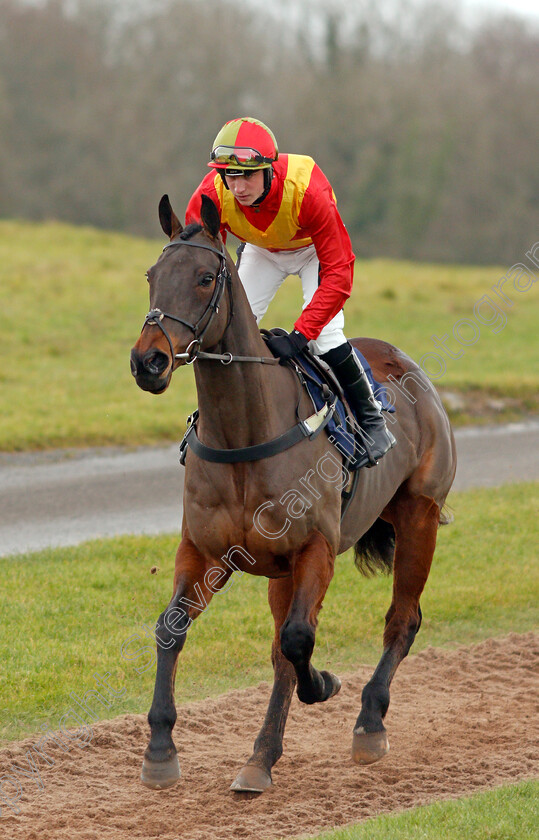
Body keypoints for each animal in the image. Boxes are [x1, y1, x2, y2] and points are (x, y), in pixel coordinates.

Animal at [130, 194, 456, 792]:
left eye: (206, 278)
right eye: (152, 276)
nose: (149, 361)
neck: (244, 434)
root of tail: (409, 368)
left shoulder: (315, 550)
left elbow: (301, 640)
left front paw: (324, 684)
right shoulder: (207, 550)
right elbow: (172, 628)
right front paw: (160, 747)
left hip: (420, 517)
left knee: (402, 620)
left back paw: (369, 720)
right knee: (283, 646)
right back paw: (261, 758)